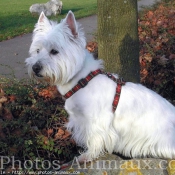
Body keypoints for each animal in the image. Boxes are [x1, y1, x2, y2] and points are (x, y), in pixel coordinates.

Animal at [25, 10, 175, 161]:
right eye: (37, 50)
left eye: (54, 51)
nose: (35, 67)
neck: (81, 81)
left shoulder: (96, 121)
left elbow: (94, 138)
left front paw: (87, 156)